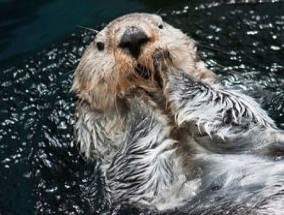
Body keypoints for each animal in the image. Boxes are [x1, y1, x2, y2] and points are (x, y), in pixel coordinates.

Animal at [71, 13, 284, 213]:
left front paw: (163, 62)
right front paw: (135, 96)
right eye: (100, 45)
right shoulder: (141, 185)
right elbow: (146, 172)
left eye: (160, 25)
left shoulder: (244, 117)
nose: (132, 36)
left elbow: (228, 110)